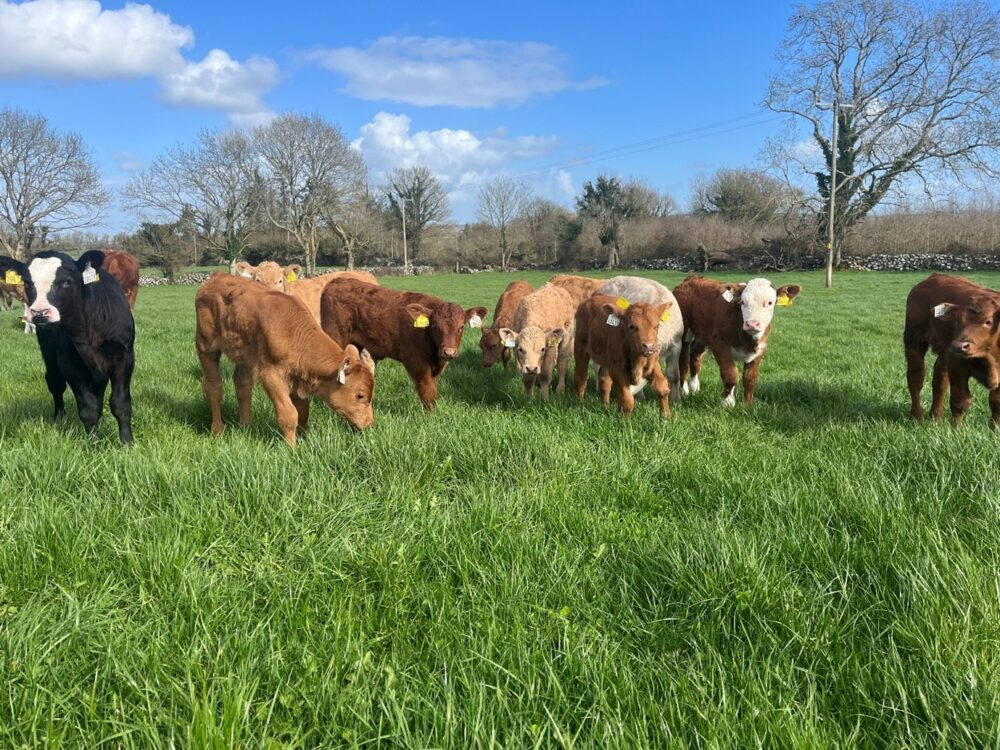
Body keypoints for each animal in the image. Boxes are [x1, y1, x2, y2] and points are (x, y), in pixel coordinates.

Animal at [0, 250, 135, 443]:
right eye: (27, 282)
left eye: (66, 281)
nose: (40, 312)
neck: (88, 330)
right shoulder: (70, 364)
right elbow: (88, 409)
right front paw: (95, 444)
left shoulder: (124, 358)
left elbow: (120, 404)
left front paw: (126, 443)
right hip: (49, 355)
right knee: (55, 382)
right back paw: (59, 417)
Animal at [195, 273, 375, 445]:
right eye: (360, 395)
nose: (369, 423)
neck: (292, 332)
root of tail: (216, 277)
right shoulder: (271, 375)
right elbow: (289, 414)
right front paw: (291, 448)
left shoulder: (298, 377)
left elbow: (303, 411)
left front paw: (305, 439)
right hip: (206, 346)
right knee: (214, 388)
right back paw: (217, 429)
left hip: (245, 356)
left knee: (243, 387)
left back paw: (246, 427)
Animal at [320, 278, 487, 410]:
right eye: (435, 327)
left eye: (461, 327)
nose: (449, 352)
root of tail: (337, 281)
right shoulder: (416, 362)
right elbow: (427, 390)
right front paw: (431, 417)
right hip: (335, 336)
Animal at [673, 275, 801, 407]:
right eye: (743, 302)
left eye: (770, 302)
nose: (752, 324)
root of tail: (692, 278)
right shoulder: (720, 344)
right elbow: (731, 374)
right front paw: (727, 403)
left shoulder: (760, 349)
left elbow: (750, 378)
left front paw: (748, 405)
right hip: (684, 331)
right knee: (683, 360)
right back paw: (684, 391)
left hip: (703, 333)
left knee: (695, 354)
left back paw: (695, 388)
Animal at [904, 273, 1000, 426]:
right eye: (956, 320)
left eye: (988, 322)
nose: (958, 346)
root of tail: (933, 277)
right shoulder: (957, 365)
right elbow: (960, 400)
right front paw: (957, 429)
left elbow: (996, 402)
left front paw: (994, 428)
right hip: (914, 339)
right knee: (916, 377)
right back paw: (917, 416)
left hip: (945, 353)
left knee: (940, 378)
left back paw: (936, 416)